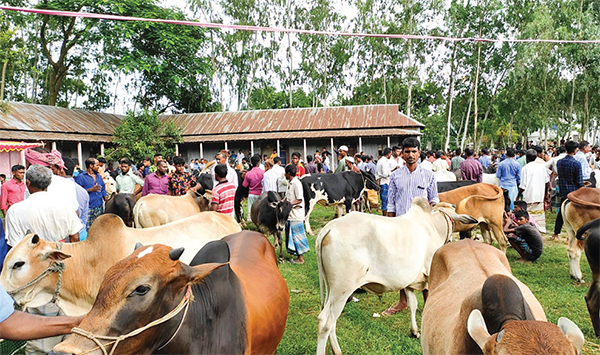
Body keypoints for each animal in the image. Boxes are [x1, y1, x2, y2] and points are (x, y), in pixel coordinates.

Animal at [314, 199, 478, 354]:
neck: (432, 225)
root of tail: (328, 229)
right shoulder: (430, 276)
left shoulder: (409, 282)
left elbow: (413, 304)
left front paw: (414, 331)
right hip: (342, 288)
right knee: (325, 321)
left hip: (331, 288)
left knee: (332, 320)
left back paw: (337, 351)